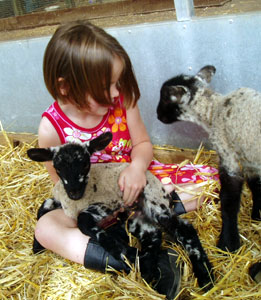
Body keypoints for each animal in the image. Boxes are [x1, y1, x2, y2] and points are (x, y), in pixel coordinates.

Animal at [26, 131, 213, 290]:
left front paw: (116, 248)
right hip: (136, 217)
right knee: (153, 234)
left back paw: (205, 277)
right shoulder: (60, 201)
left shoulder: (106, 205)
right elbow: (43, 207)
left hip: (154, 202)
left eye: (85, 164)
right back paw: (148, 268)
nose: (74, 192)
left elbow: (83, 221)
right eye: (57, 168)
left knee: (184, 228)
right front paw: (36, 246)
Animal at [156, 65, 260, 253]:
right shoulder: (249, 159)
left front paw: (228, 244)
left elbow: (229, 200)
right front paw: (257, 215)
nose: (157, 115)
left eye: (165, 99)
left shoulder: (228, 155)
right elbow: (256, 186)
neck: (213, 110)